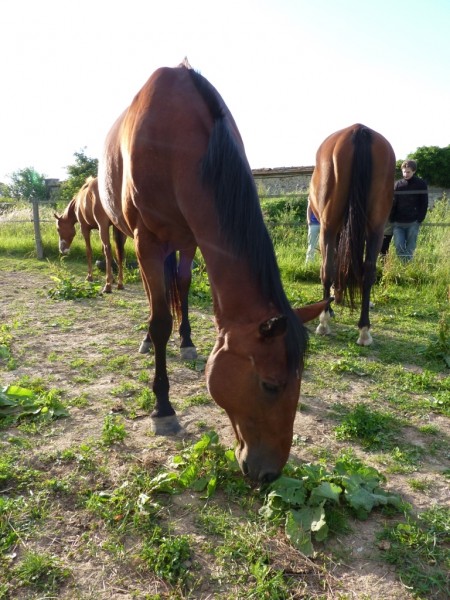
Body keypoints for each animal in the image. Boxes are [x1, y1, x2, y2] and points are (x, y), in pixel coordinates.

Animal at [98, 59, 328, 482]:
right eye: (271, 385)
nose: (270, 473)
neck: (176, 140)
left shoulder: (192, 237)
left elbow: (184, 288)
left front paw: (186, 341)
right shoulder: (146, 241)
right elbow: (159, 320)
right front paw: (163, 407)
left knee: (178, 287)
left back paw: (185, 341)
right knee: (154, 301)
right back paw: (148, 342)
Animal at [310, 123, 394, 346]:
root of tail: (360, 130)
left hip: (328, 226)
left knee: (327, 268)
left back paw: (324, 323)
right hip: (376, 227)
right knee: (369, 271)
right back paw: (364, 330)